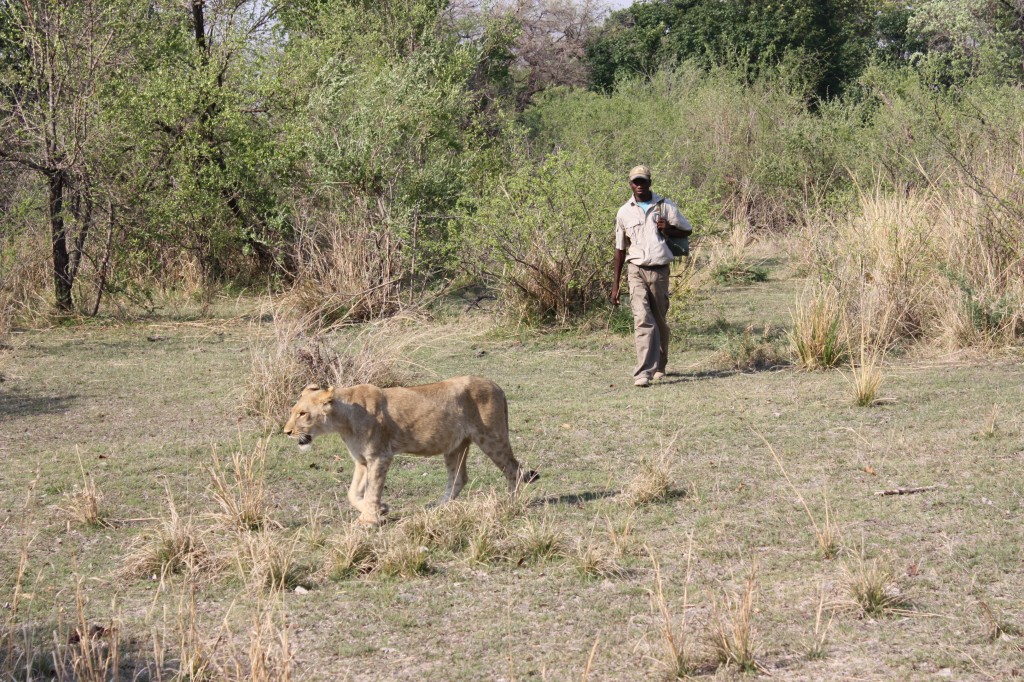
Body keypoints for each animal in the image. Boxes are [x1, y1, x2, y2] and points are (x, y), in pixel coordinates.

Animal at [280, 374, 536, 522]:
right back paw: (437, 508)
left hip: (491, 438)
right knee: (459, 478)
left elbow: (372, 491)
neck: (342, 420)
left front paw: (369, 519)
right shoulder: (362, 461)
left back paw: (509, 504)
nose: (287, 432)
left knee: (513, 468)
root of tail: (496, 385)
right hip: (455, 445)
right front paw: (380, 510)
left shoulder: (380, 456)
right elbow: (353, 493)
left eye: (302, 414)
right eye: (292, 411)